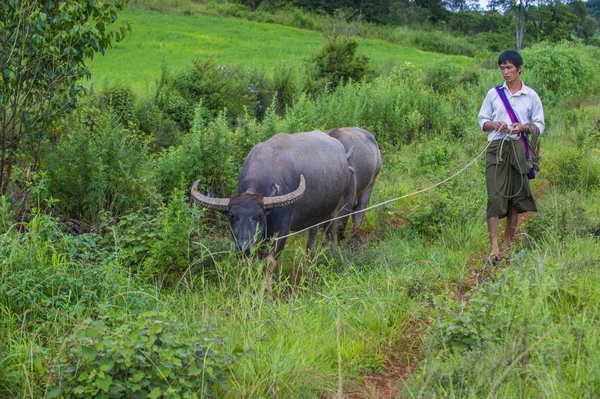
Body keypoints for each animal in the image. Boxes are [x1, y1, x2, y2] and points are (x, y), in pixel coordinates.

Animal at [191, 130, 352, 258]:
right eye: (232, 216)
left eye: (259, 215)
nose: (245, 248)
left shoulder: (281, 232)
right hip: (315, 213)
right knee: (313, 231)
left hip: (336, 206)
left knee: (332, 228)